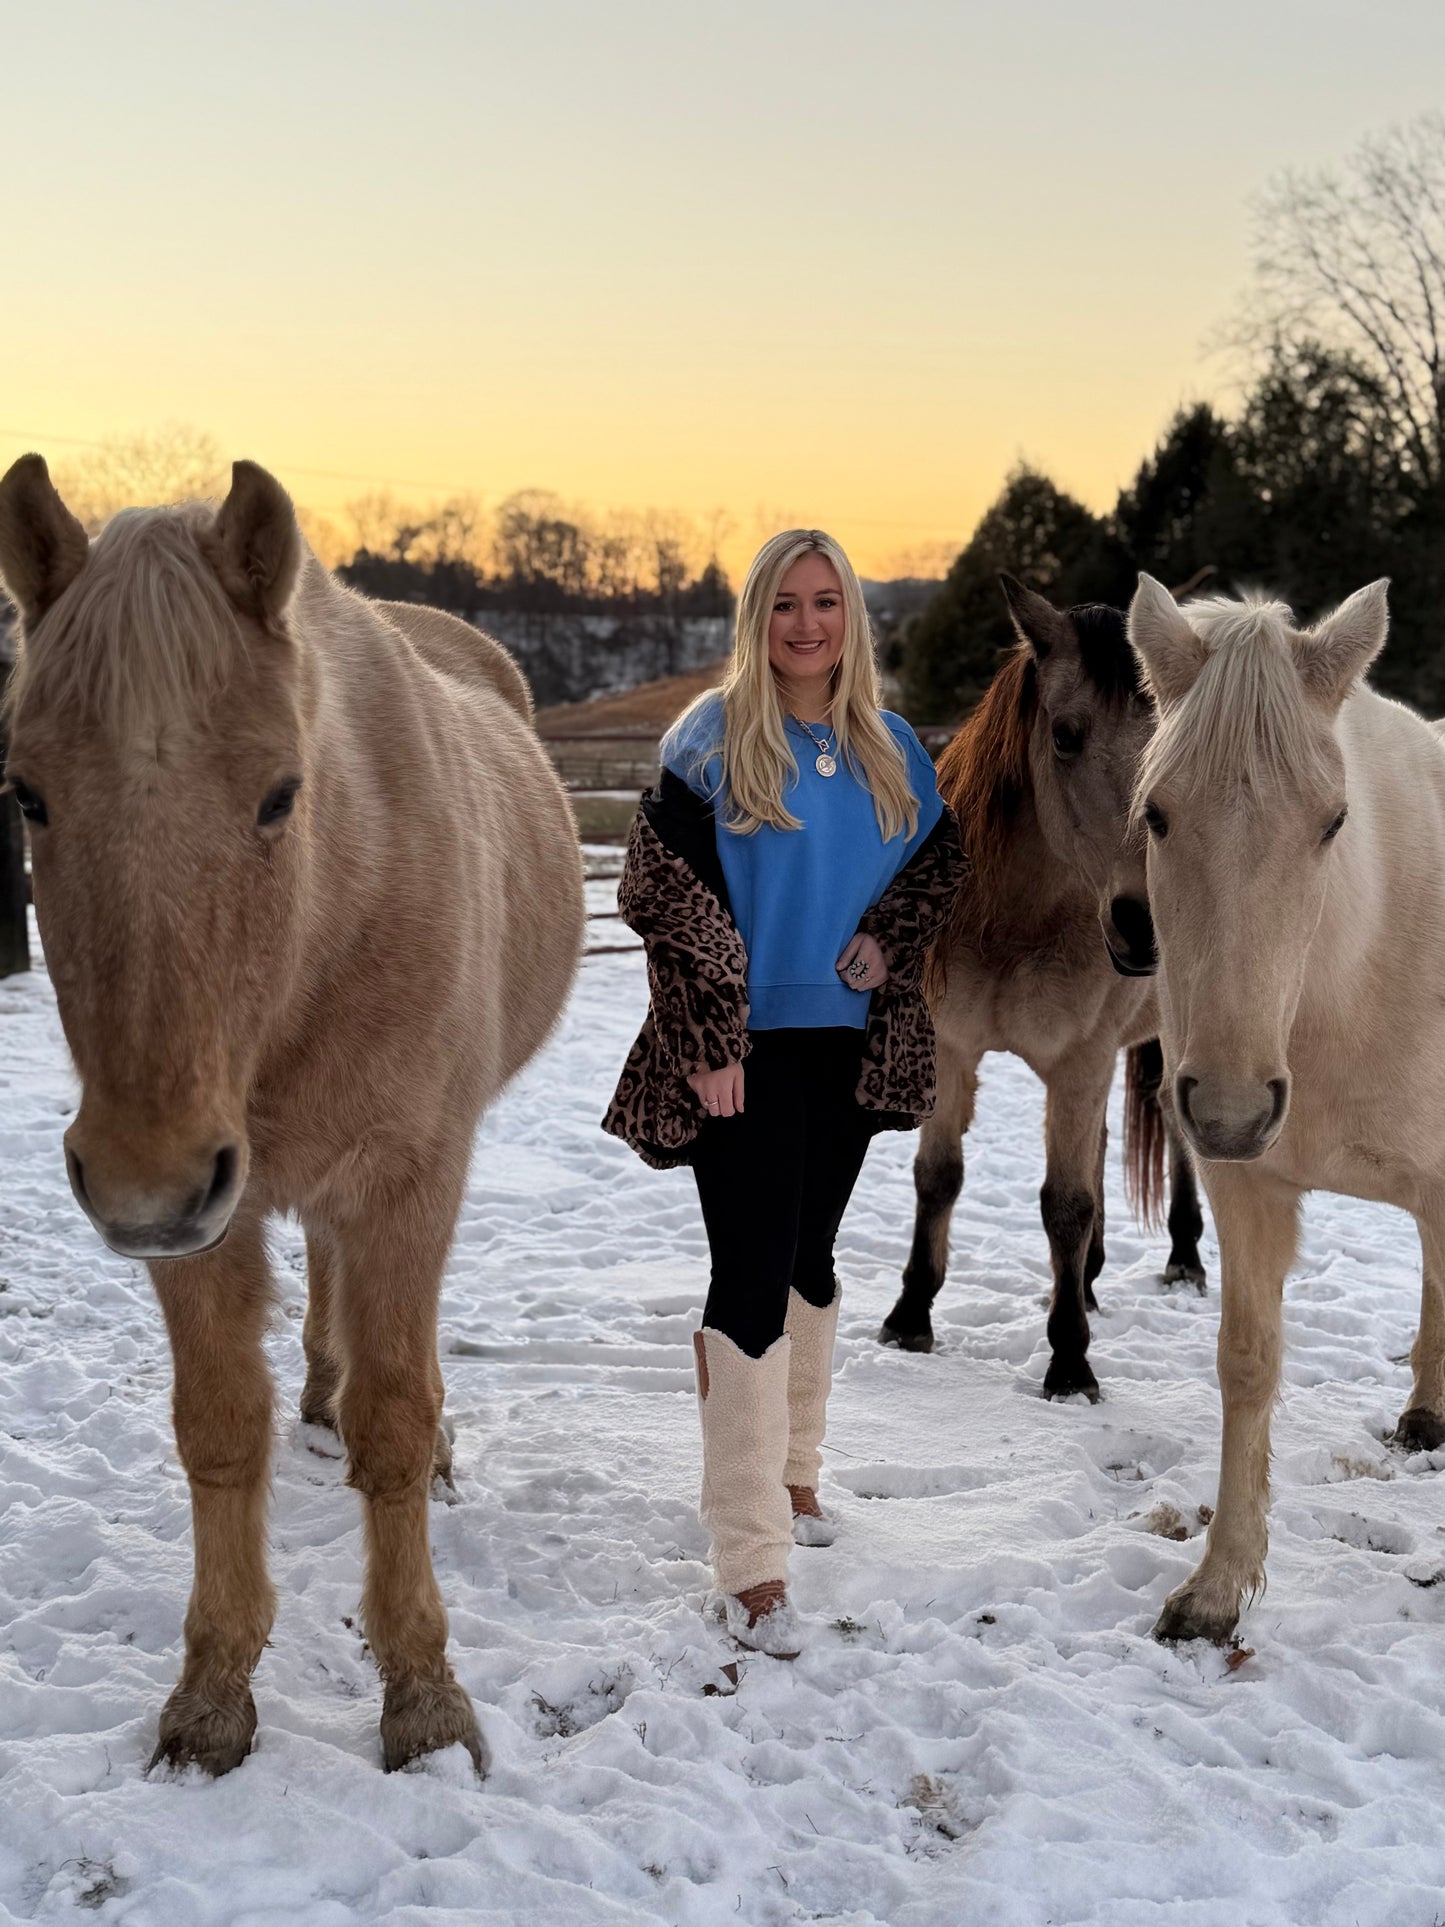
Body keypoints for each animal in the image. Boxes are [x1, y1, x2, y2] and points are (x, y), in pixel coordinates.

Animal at [1, 450, 589, 1772]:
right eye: (26, 796)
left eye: (281, 794)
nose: (144, 1187)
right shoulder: (207, 1223)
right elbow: (220, 1428)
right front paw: (213, 1693)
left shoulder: (409, 1181)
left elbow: (396, 1421)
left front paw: (422, 1696)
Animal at [882, 574, 1209, 1402]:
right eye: (1064, 734)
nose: (1145, 921)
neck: (1012, 920)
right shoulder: (953, 1045)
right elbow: (937, 1177)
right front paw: (909, 1315)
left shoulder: (1080, 1060)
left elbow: (1065, 1204)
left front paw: (1068, 1363)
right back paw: (1086, 1280)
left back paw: (1183, 1259)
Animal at [1132, 570, 1445, 1641]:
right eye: (1157, 816)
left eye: (1332, 821)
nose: (1229, 1109)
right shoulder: (1247, 1187)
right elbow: (1247, 1360)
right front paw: (1217, 1587)